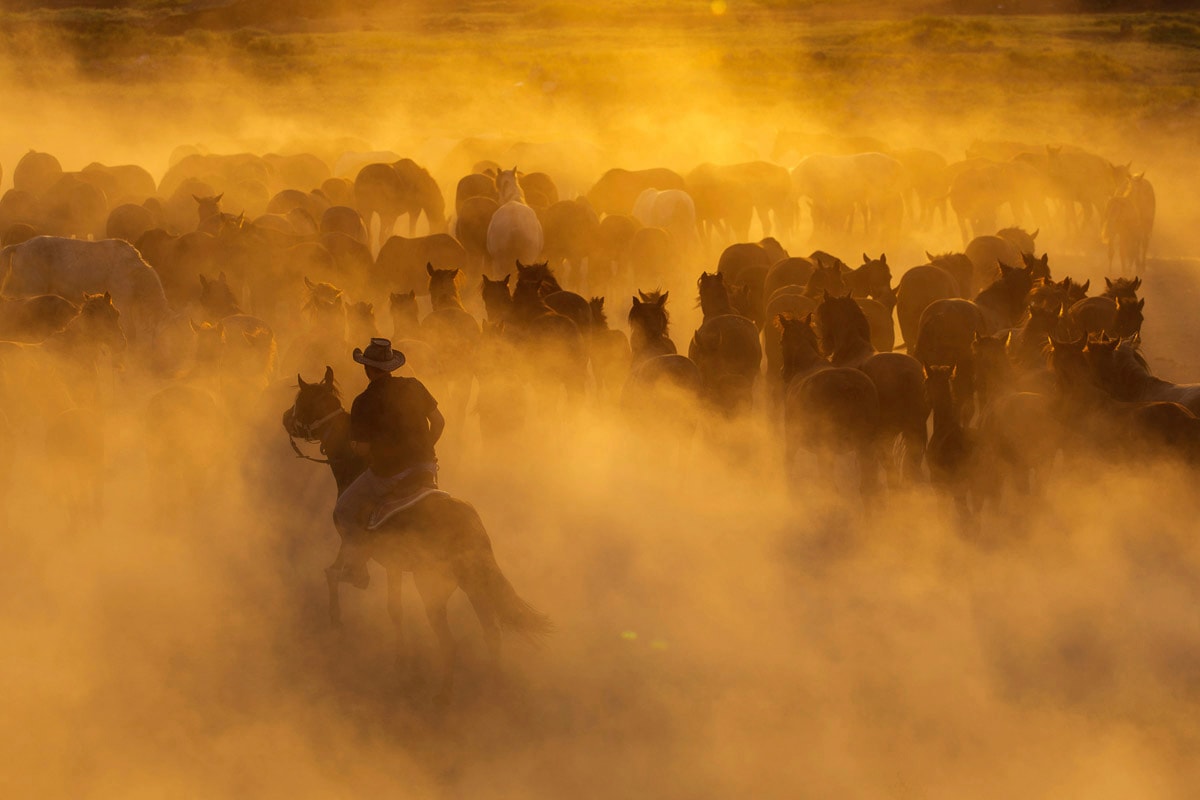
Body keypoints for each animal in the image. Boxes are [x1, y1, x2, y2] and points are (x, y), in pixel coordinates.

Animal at [280, 367, 549, 700]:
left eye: (302, 399)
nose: (284, 418)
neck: (354, 467)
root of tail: (468, 527)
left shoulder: (350, 540)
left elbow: (332, 573)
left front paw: (336, 619)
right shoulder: (394, 566)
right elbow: (394, 610)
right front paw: (400, 660)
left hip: (432, 590)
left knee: (450, 644)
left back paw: (443, 697)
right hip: (473, 585)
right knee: (492, 634)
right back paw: (494, 686)